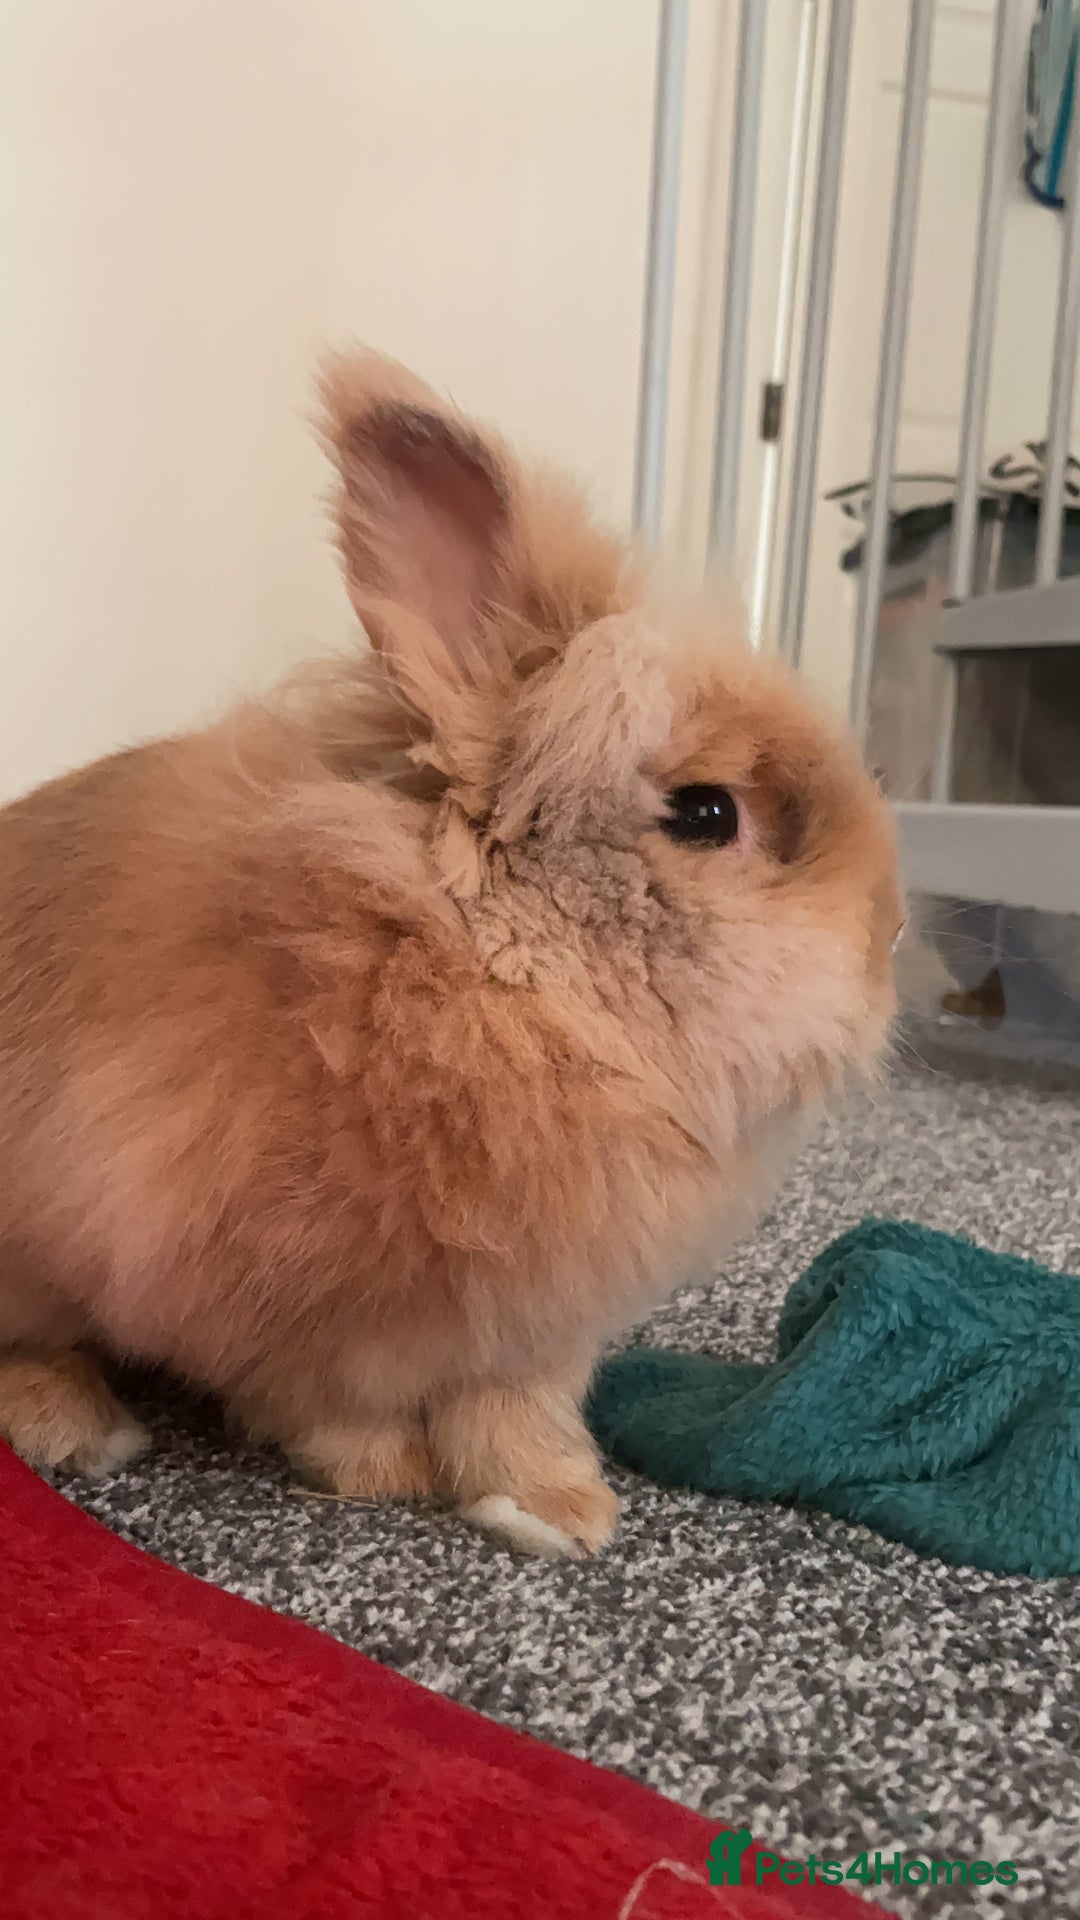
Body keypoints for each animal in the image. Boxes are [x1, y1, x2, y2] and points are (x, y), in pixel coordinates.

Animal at [0, 350, 900, 1557]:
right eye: (709, 814)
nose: (892, 938)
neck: (501, 982)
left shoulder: (528, 1332)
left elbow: (513, 1415)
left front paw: (559, 1512)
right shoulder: (286, 1304)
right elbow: (332, 1405)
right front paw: (383, 1476)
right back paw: (82, 1427)